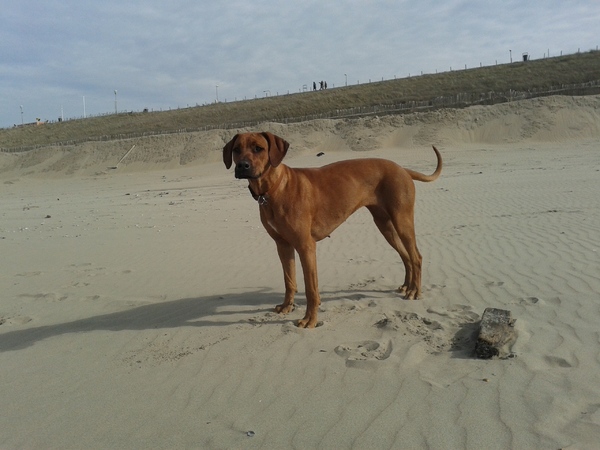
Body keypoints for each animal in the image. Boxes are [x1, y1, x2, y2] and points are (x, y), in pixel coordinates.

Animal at [224, 131, 440, 326]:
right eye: (236, 150)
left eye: (258, 148)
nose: (242, 166)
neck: (273, 189)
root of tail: (402, 169)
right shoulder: (282, 245)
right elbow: (289, 280)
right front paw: (287, 306)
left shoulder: (306, 246)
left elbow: (311, 289)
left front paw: (309, 319)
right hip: (384, 225)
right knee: (405, 256)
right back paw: (406, 286)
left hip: (402, 220)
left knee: (416, 256)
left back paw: (415, 291)